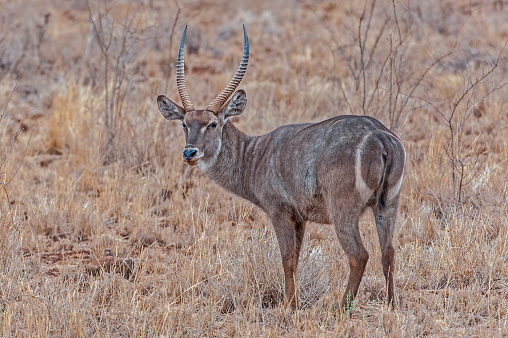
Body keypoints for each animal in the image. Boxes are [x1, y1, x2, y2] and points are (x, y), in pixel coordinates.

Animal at [157, 25, 406, 312]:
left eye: (213, 124)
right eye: (184, 124)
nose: (190, 153)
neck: (254, 155)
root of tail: (380, 136)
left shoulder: (279, 211)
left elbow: (287, 258)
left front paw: (290, 305)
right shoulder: (301, 217)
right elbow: (296, 258)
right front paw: (292, 300)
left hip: (343, 209)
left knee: (359, 254)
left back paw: (341, 308)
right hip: (388, 204)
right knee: (388, 251)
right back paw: (391, 305)